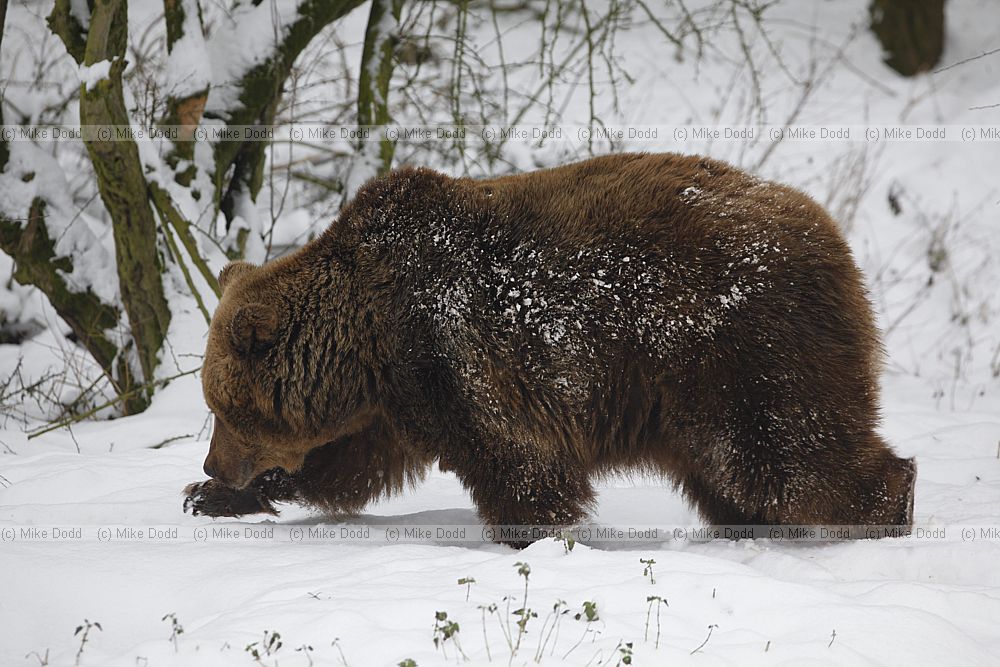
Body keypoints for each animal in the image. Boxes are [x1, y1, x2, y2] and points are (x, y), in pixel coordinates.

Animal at [183, 152, 916, 544]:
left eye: (221, 406)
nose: (215, 462)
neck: (368, 336)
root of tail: (830, 235)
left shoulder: (451, 348)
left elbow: (519, 462)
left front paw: (535, 537)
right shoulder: (394, 400)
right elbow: (348, 465)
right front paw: (209, 496)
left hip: (740, 348)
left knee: (784, 453)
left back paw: (883, 513)